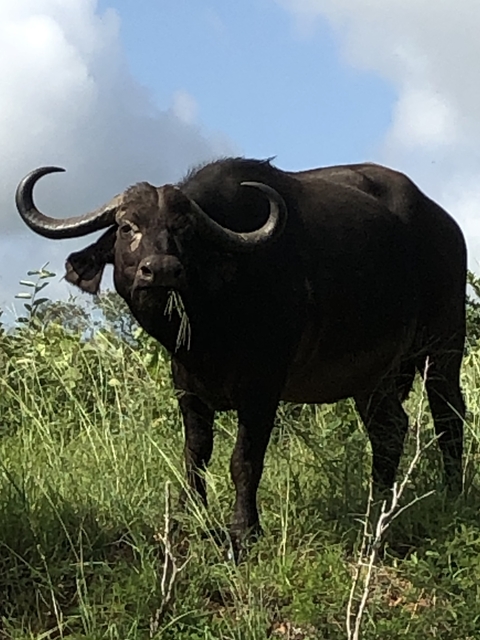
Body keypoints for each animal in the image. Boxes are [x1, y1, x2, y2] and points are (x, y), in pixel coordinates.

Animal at [15, 158, 467, 555]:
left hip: (443, 347)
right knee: (389, 431)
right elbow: (196, 455)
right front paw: (189, 517)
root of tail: (445, 225)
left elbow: (244, 460)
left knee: (449, 417)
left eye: (184, 229)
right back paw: (376, 509)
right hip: (373, 378)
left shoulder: (262, 388)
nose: (160, 270)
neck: (211, 329)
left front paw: (243, 532)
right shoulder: (187, 388)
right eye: (128, 226)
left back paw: (452, 495)